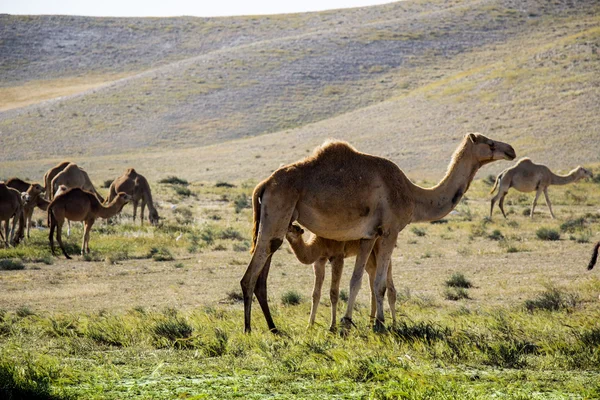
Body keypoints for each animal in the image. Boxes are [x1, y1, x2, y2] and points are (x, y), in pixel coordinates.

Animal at [240, 133, 516, 332]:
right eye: (490, 143)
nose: (511, 150)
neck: (413, 196)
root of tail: (263, 184)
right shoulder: (390, 231)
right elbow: (380, 283)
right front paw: (381, 326)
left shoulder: (368, 235)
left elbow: (357, 280)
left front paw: (348, 323)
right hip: (279, 210)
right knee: (250, 276)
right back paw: (248, 330)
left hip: (278, 219)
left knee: (264, 270)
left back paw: (274, 328)